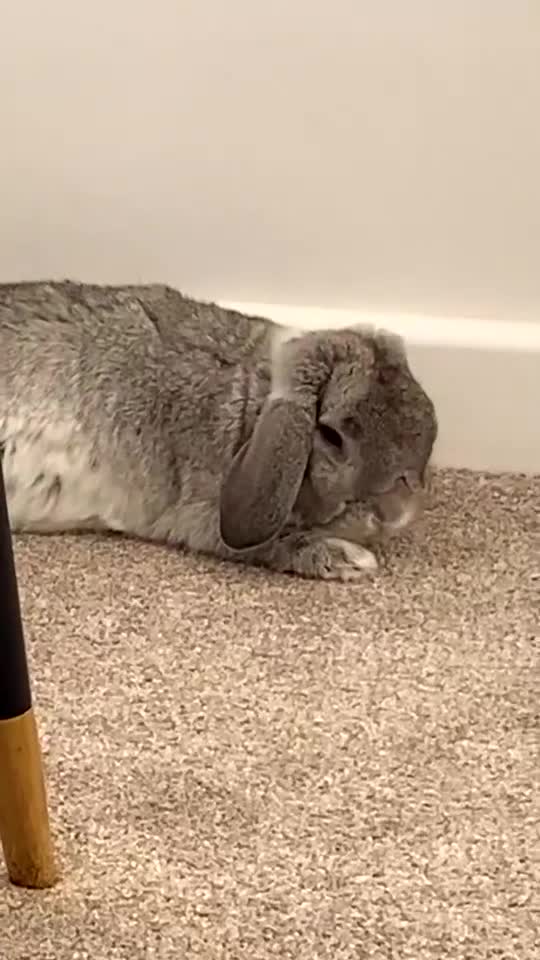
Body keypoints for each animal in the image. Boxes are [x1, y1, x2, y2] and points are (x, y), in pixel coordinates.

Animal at [0, 280, 437, 581]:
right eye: (331, 435)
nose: (397, 513)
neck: (252, 404)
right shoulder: (204, 516)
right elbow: (275, 544)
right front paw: (353, 560)